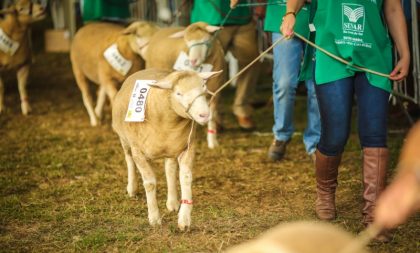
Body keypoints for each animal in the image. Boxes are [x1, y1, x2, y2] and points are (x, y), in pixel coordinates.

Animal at [111, 68, 223, 230]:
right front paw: (154, 218)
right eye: (178, 93)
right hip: (124, 140)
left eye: (204, 88)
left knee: (169, 169)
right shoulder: (139, 152)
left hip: (171, 148)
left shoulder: (188, 147)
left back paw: (172, 202)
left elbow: (185, 178)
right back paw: (132, 188)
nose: (204, 115)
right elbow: (150, 183)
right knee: (129, 159)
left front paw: (184, 219)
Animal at [144, 21, 226, 149]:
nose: (192, 61)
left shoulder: (216, 91)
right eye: (187, 42)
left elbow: (211, 116)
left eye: (206, 40)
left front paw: (212, 141)